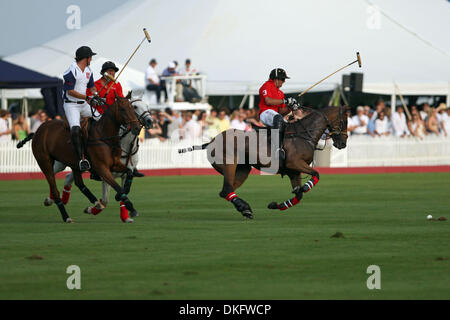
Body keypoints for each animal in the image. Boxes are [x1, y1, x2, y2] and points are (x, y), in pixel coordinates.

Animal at [18, 92, 141, 222]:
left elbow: (129, 173)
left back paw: (95, 202)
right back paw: (66, 216)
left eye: (132, 108)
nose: (137, 128)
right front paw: (131, 207)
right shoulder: (102, 168)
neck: (104, 136)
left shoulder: (115, 164)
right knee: (55, 188)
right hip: (45, 162)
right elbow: (117, 187)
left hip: (74, 164)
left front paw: (123, 200)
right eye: (122, 109)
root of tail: (38, 130)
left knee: (79, 183)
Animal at [178, 106, 348, 219]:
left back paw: (244, 209)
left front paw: (277, 205)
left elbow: (298, 194)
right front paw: (306, 186)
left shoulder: (294, 172)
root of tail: (211, 141)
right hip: (229, 164)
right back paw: (245, 208)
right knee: (226, 190)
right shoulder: (295, 163)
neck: (304, 134)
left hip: (243, 170)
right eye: (344, 121)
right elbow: (316, 174)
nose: (343, 143)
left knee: (227, 190)